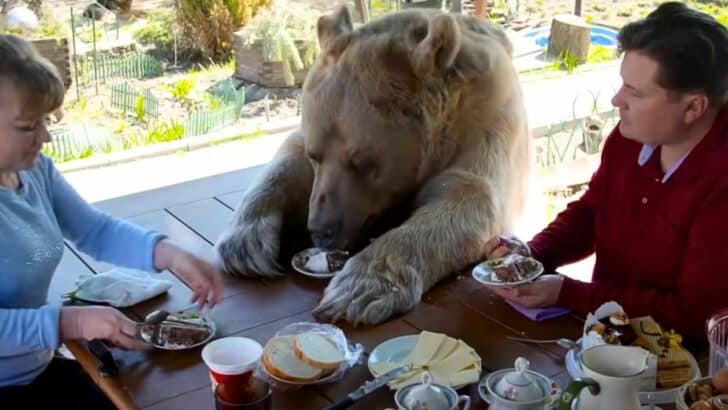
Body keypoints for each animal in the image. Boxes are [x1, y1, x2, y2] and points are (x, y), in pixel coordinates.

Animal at [215, 5, 532, 325]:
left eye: (363, 163)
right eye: (315, 155)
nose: (321, 230)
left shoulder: (487, 121)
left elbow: (469, 195)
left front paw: (359, 287)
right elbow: (288, 159)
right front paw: (245, 246)